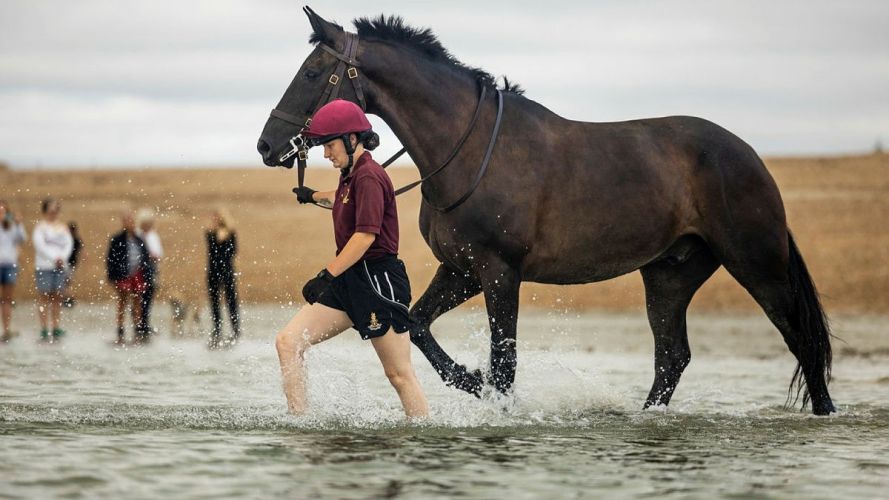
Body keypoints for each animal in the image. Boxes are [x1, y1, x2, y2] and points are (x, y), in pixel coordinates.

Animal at [257, 7, 835, 415]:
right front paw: (471, 382)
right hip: (670, 274)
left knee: (801, 339)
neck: (468, 151)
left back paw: (825, 414)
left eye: (313, 72)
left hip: (757, 266)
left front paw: (495, 400)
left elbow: (504, 360)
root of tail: (748, 155)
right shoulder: (461, 271)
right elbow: (419, 326)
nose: (267, 145)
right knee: (672, 356)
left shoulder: (499, 273)